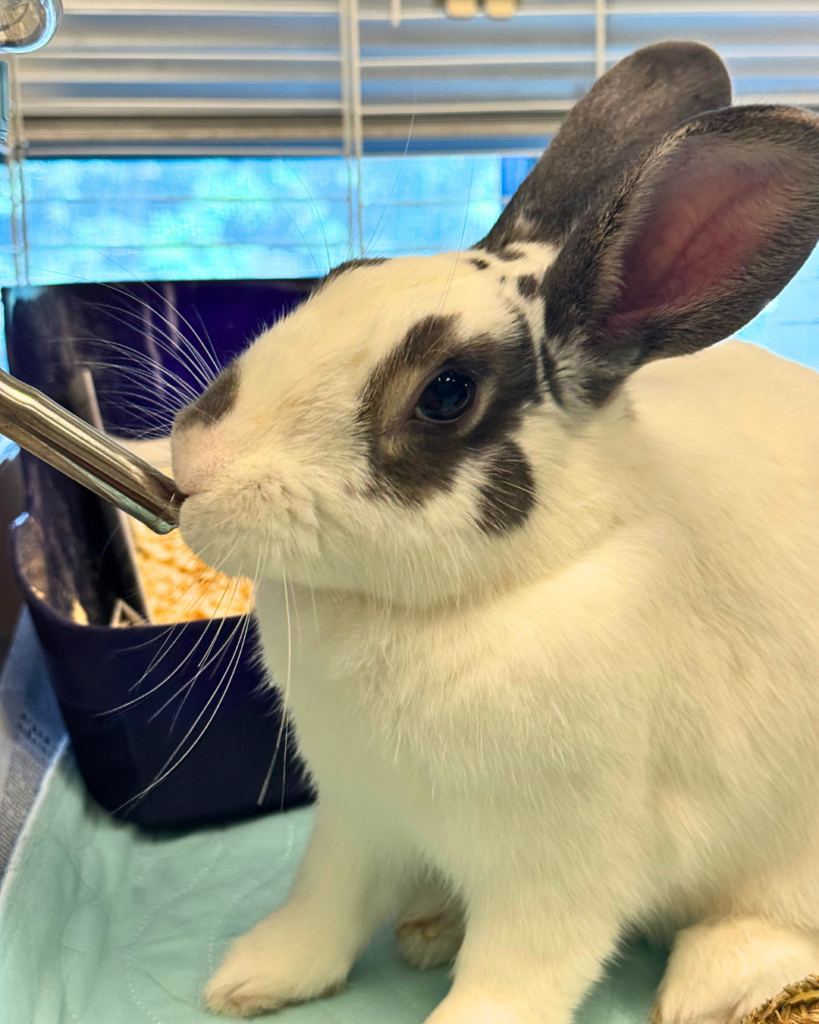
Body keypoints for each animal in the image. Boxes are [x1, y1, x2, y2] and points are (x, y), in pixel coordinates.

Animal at [170, 41, 819, 1024]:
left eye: (446, 393)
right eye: (341, 276)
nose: (192, 469)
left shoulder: (558, 870)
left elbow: (516, 973)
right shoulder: (355, 815)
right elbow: (322, 903)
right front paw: (252, 980)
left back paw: (709, 980)